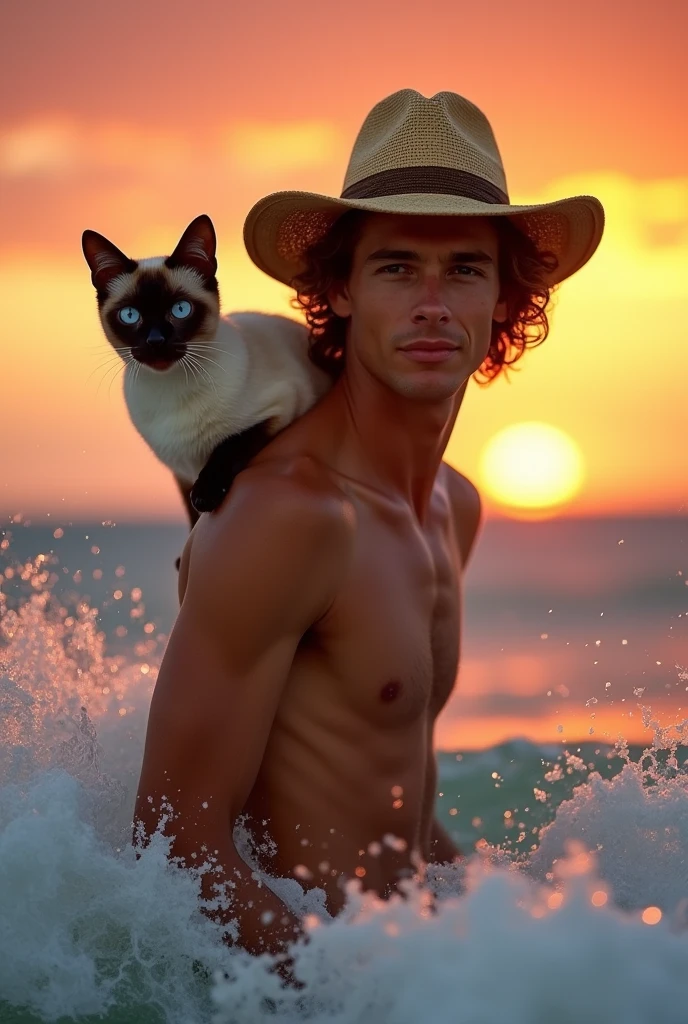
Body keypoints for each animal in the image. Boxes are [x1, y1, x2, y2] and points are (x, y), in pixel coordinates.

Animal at [80, 217, 333, 536]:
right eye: (130, 315)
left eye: (180, 309)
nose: (155, 341)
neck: (169, 391)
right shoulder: (179, 470)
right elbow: (192, 522)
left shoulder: (279, 407)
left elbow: (228, 447)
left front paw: (206, 495)